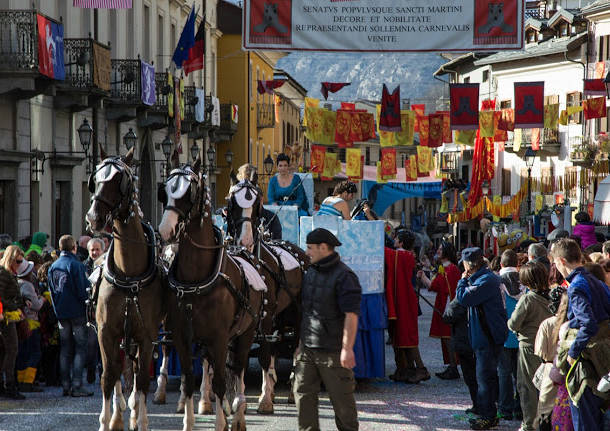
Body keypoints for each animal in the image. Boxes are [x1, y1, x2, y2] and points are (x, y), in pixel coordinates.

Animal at [85, 148, 166, 431]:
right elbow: (109, 376)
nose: (93, 217)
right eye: (95, 178)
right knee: (119, 369)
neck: (129, 274)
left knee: (134, 371)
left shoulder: (147, 336)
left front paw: (140, 420)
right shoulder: (105, 332)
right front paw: (106, 420)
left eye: (120, 179)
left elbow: (141, 380)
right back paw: (119, 411)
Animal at [157, 160, 264, 430]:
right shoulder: (182, 337)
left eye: (189, 192)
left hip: (246, 332)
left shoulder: (219, 337)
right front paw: (189, 421)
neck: (196, 279)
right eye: (165, 191)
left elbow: (221, 383)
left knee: (237, 370)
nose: (165, 229)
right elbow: (187, 381)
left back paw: (238, 413)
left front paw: (222, 421)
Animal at [224, 171, 308, 416]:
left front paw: (263, 401)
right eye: (231, 203)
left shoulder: (265, 314)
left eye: (257, 204)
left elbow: (261, 355)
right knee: (274, 347)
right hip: (278, 316)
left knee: (295, 346)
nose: (245, 240)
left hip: (295, 314)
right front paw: (237, 397)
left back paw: (290, 390)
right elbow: (237, 357)